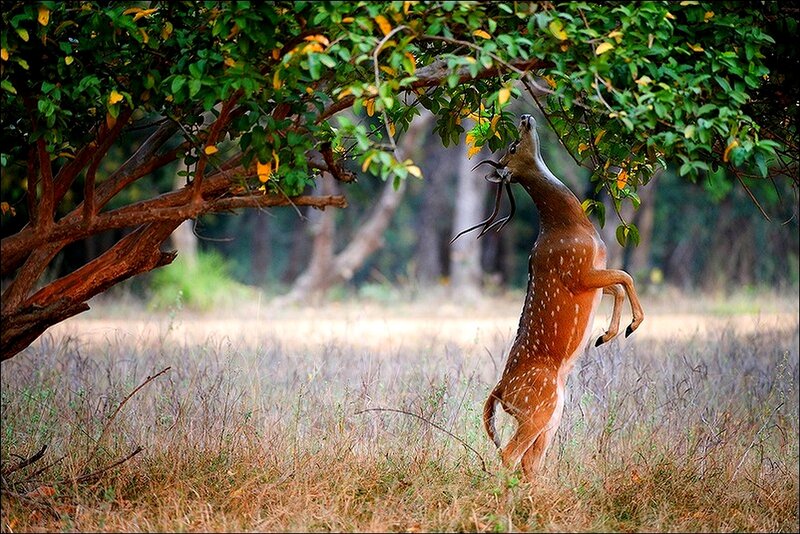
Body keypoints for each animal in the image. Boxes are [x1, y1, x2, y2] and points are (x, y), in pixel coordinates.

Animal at [454, 113, 644, 480]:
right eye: (513, 145)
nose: (525, 118)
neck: (572, 227)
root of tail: (499, 391)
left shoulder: (594, 272)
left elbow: (617, 283)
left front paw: (607, 334)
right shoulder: (578, 270)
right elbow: (625, 276)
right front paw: (629, 327)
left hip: (551, 415)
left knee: (530, 461)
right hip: (537, 408)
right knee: (509, 455)